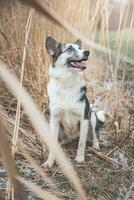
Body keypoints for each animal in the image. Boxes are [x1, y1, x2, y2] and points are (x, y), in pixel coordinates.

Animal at [44, 37, 104, 167]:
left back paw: (95, 146)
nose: (87, 52)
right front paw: (49, 161)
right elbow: (53, 145)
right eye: (69, 49)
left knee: (95, 135)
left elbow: (81, 143)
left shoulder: (84, 118)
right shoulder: (54, 119)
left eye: (80, 48)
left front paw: (80, 158)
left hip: (92, 117)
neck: (67, 82)